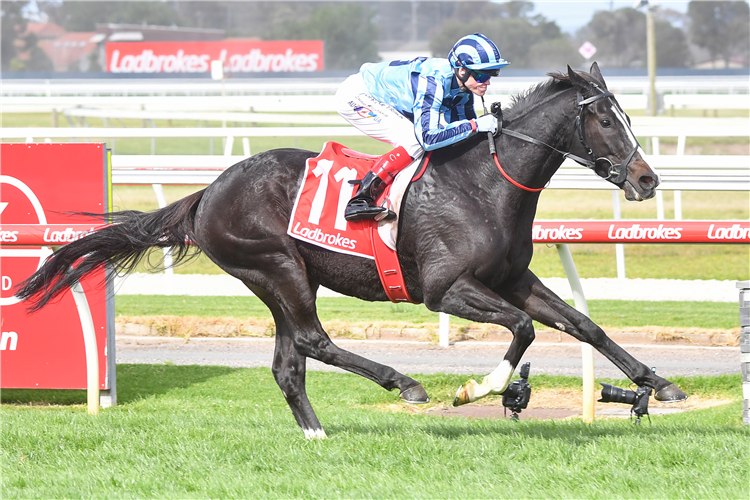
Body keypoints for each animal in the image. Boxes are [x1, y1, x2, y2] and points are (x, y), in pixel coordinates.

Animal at [17, 63, 688, 438]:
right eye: (605, 120)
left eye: (627, 116)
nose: (648, 179)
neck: (484, 183)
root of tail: (209, 192)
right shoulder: (446, 289)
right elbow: (522, 328)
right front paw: (487, 389)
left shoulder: (512, 278)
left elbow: (582, 324)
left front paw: (657, 383)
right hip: (275, 266)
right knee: (313, 342)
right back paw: (405, 383)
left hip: (284, 278)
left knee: (289, 363)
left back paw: (317, 434)